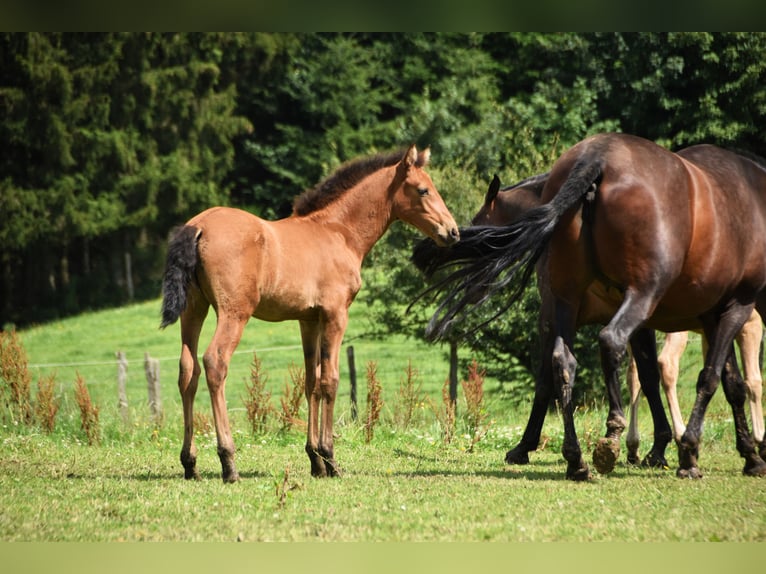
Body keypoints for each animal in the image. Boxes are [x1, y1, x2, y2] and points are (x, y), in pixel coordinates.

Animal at [160, 144, 460, 482]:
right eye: (423, 190)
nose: (453, 232)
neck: (338, 232)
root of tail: (198, 226)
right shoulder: (335, 314)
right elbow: (330, 380)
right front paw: (330, 459)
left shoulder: (308, 319)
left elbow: (310, 382)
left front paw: (315, 461)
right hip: (233, 312)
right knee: (215, 363)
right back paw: (229, 461)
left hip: (194, 309)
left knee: (188, 371)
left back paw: (190, 464)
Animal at [416, 135, 766, 482]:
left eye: (481, 229)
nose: (448, 240)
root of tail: (597, 158)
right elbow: (693, 378)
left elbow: (692, 379)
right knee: (598, 350)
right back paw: (601, 446)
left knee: (580, 359)